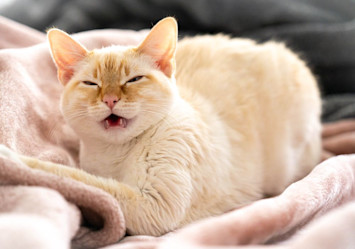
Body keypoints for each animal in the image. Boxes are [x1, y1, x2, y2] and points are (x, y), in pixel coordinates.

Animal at [0, 17, 322, 235]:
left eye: (133, 80)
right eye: (92, 84)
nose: (110, 99)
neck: (113, 156)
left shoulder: (155, 207)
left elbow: (74, 178)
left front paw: (13, 160)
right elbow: (86, 179)